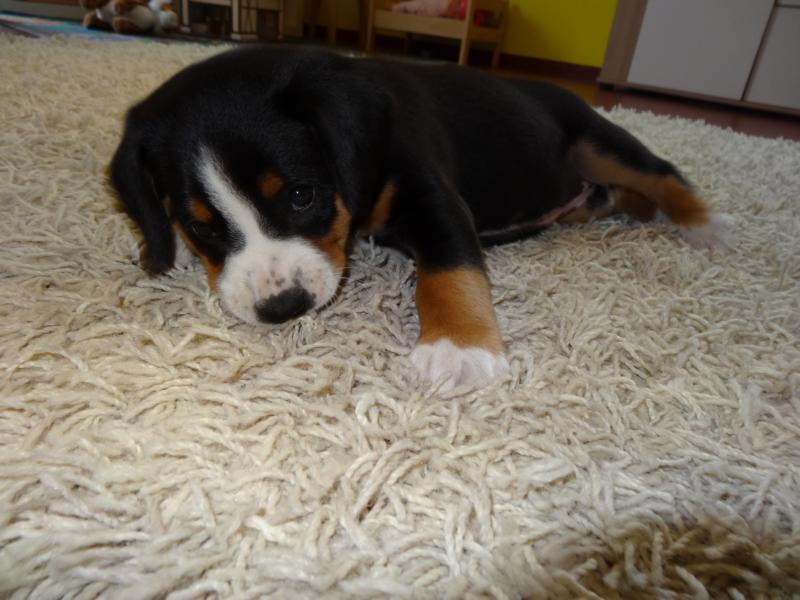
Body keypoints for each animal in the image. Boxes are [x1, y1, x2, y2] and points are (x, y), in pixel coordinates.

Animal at [109, 45, 734, 389]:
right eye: (201, 226)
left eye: (302, 196)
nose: (282, 306)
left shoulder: (430, 195)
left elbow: (448, 274)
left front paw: (460, 349)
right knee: (620, 196)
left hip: (595, 137)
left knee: (661, 171)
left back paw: (702, 225)